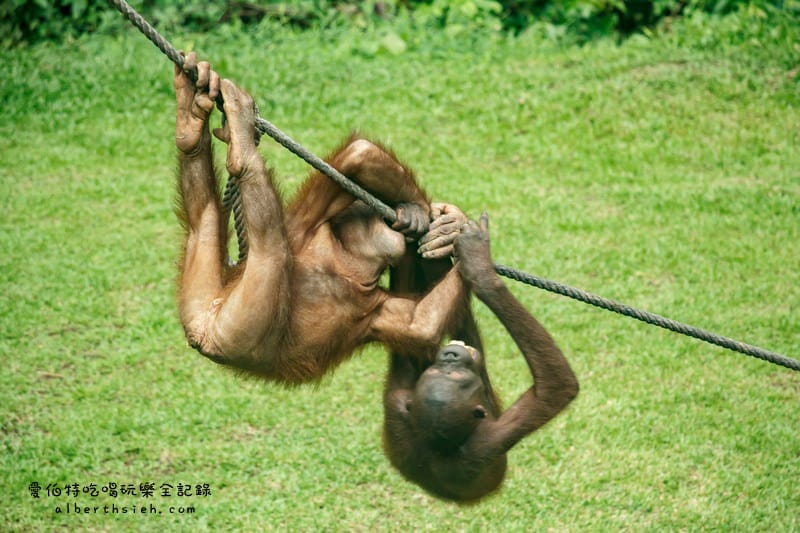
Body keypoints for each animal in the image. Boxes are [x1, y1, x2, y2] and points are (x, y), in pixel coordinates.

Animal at [174, 53, 468, 384]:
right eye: (369, 219)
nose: (387, 226)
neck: (347, 265)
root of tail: (204, 327)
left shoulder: (378, 311)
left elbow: (422, 323)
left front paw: (452, 230)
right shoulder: (306, 227)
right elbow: (359, 153)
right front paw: (433, 217)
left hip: (201, 293)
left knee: (204, 219)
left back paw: (190, 123)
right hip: (241, 323)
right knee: (271, 245)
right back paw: (241, 146)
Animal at [383, 213, 580, 502]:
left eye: (443, 371)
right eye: (462, 378)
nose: (451, 356)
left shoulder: (397, 403)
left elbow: (412, 328)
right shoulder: (490, 438)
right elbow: (556, 389)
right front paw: (479, 266)